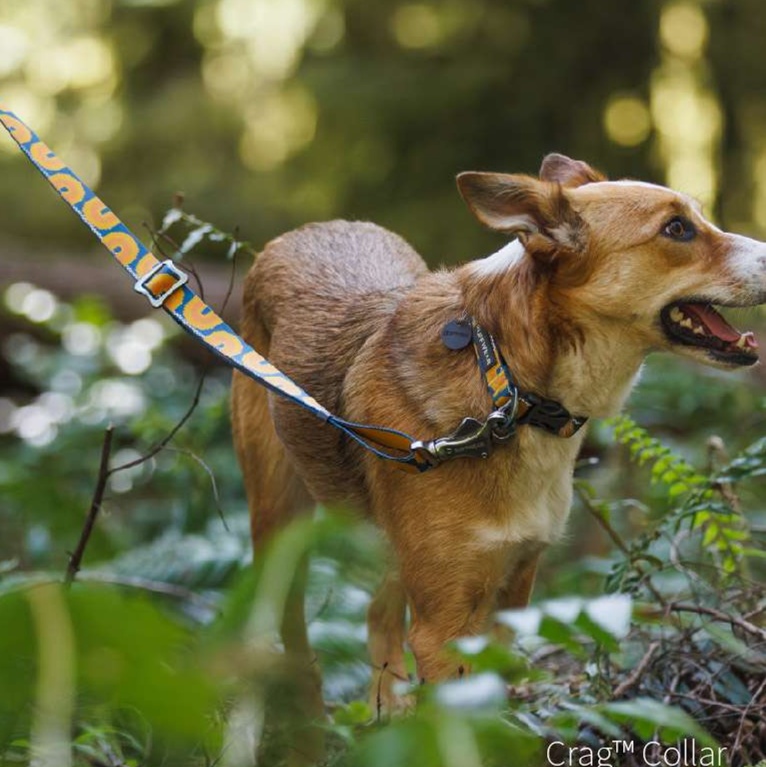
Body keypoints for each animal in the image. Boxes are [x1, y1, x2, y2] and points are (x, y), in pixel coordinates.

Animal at [230, 154, 766, 720]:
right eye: (676, 228)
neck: (507, 385)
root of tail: (309, 229)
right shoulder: (441, 628)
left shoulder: (513, 594)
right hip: (278, 518)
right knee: (289, 633)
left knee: (378, 614)